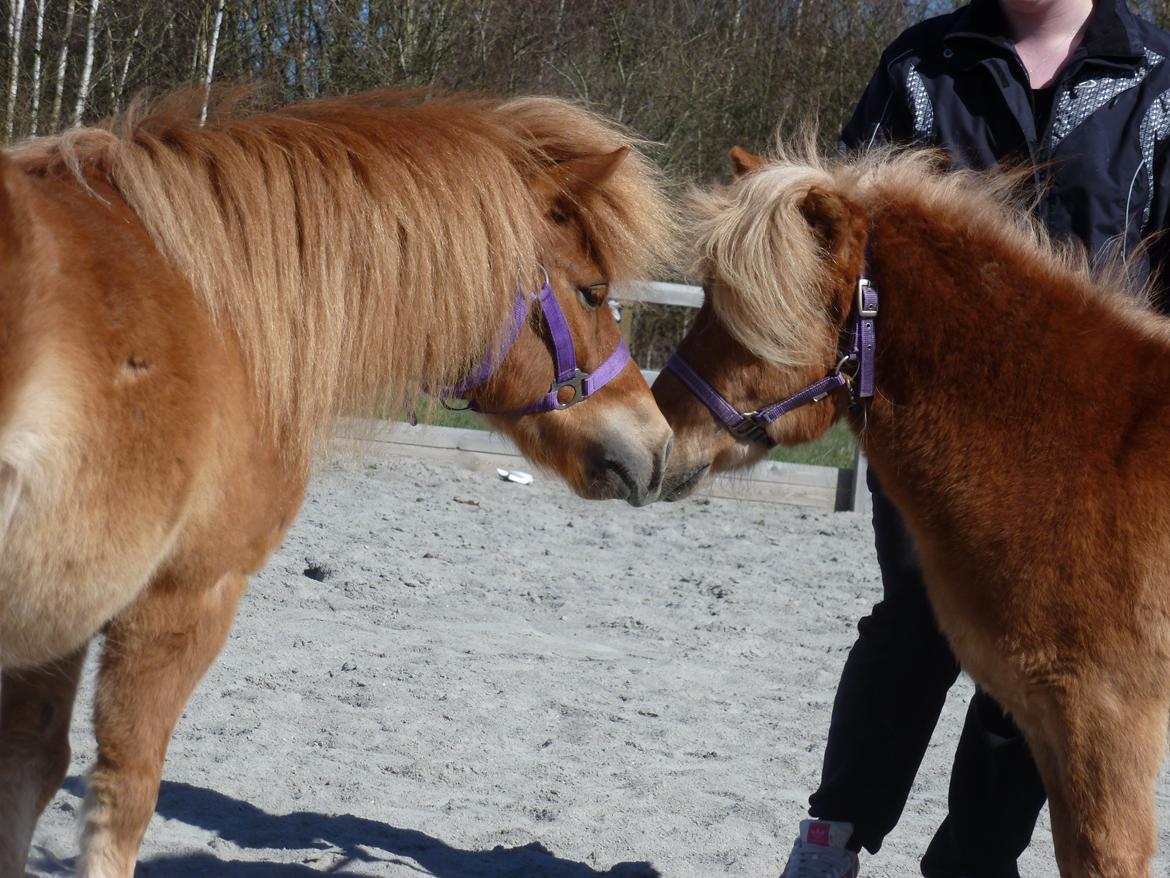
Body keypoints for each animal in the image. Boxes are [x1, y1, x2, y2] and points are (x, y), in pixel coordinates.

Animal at [0, 91, 673, 878]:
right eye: (593, 294)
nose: (659, 445)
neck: (219, 311)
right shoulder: (182, 597)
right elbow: (124, 793)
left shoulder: (62, 612)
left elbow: (31, 766)